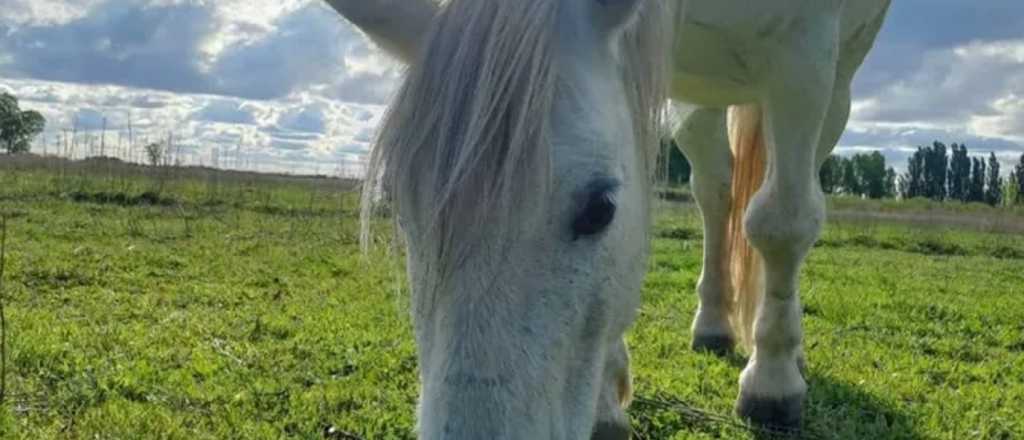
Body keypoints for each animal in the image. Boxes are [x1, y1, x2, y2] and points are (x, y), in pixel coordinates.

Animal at [327, 0, 888, 435]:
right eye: (399, 207)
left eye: (600, 209)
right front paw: (606, 399)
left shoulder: (806, 56)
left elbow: (782, 222)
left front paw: (771, 382)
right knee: (715, 195)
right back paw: (713, 323)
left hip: (833, 84)